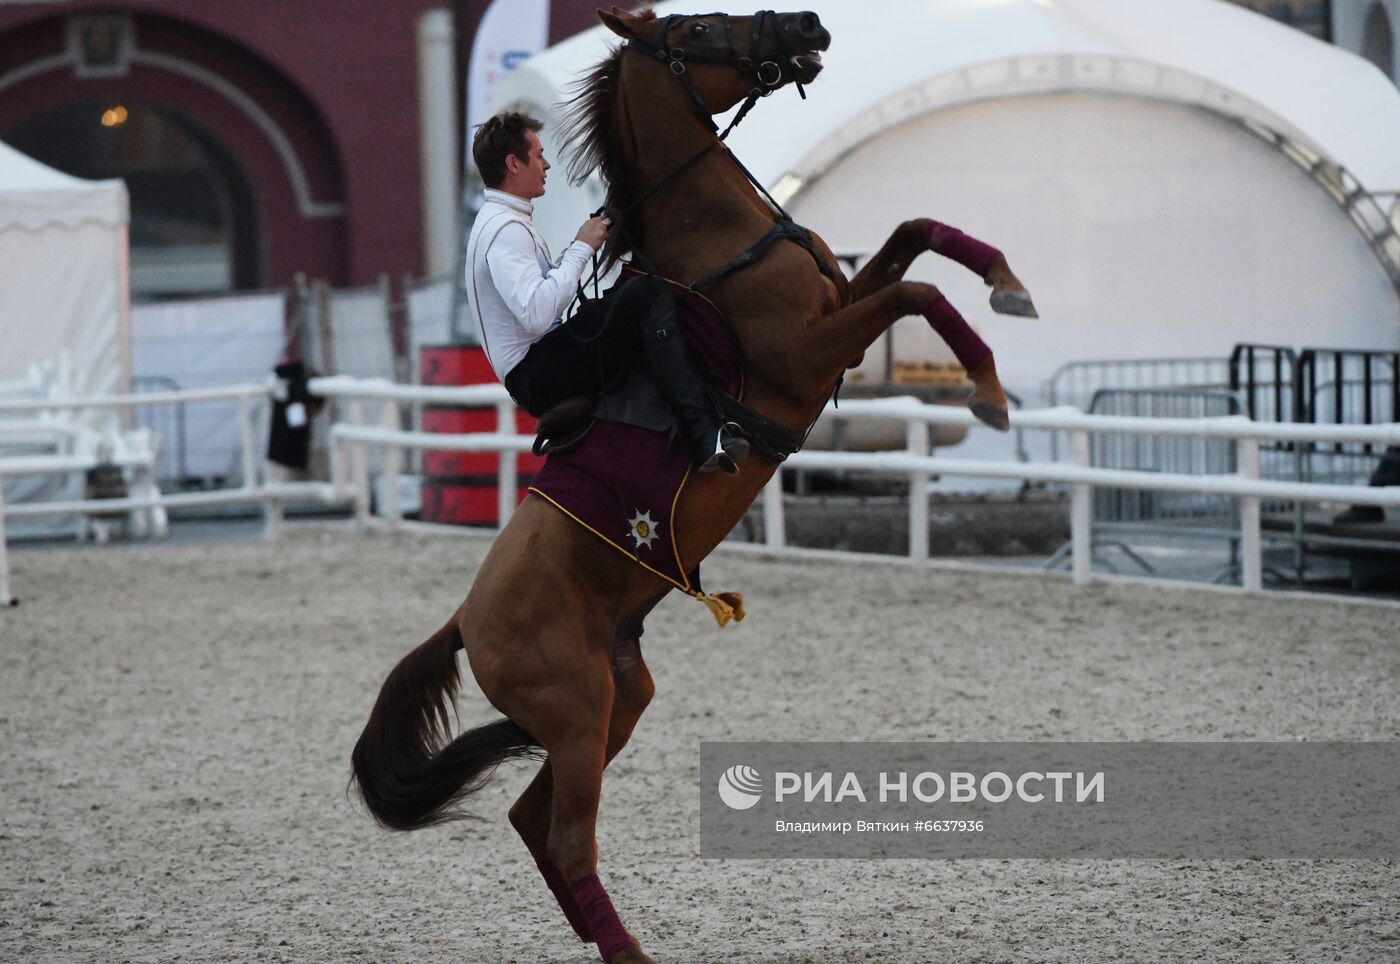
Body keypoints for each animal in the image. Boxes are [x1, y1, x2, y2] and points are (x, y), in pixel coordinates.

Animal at [350, 9, 1036, 962]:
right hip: (578, 712)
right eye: (699, 26)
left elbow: (920, 235)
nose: (809, 24)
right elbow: (923, 294)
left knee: (535, 821)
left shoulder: (843, 313)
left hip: (618, 699)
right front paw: (989, 389)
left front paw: (1008, 282)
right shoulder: (810, 352)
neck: (717, 240)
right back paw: (629, 951)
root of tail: (462, 620)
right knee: (566, 836)